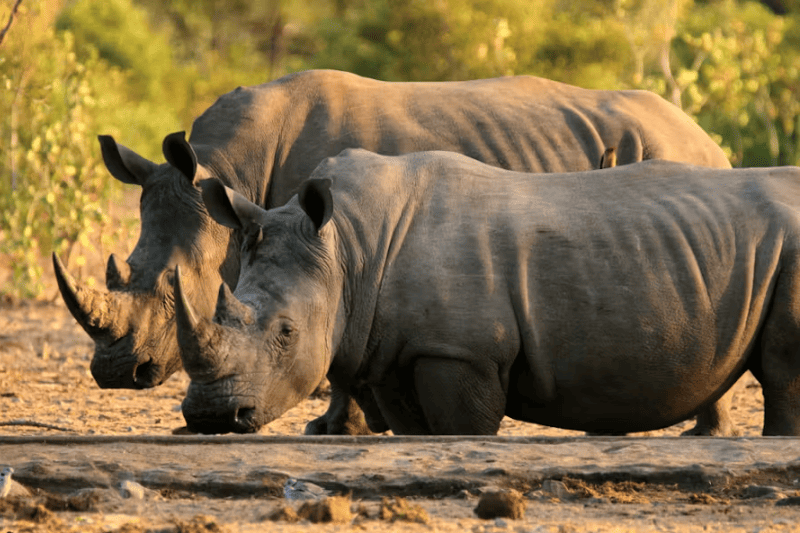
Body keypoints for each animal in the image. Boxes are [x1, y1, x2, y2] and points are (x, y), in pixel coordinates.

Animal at [52, 69, 733, 434]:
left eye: (174, 287)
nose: (117, 374)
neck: (229, 169)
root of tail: (706, 134)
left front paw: (336, 428)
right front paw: (342, 426)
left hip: (679, 158)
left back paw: (703, 431)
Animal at [173, 150, 800, 436]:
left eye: (286, 332)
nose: (211, 417)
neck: (350, 249)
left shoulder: (461, 352)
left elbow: (463, 429)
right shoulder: (395, 351)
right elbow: (416, 432)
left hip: (791, 250)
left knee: (784, 374)